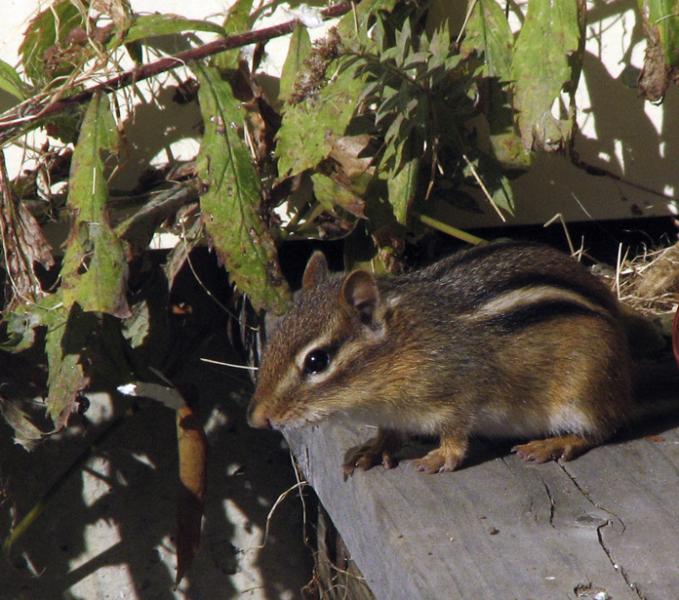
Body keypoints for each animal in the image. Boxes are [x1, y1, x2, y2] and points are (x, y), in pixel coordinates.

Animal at [247, 240, 657, 475]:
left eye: (317, 361)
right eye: (276, 335)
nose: (256, 419)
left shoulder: (462, 394)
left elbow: (456, 434)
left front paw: (440, 457)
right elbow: (389, 431)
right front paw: (373, 448)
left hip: (583, 389)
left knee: (603, 428)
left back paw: (554, 443)